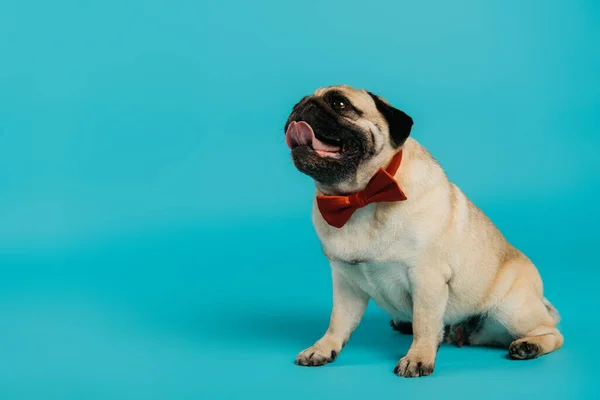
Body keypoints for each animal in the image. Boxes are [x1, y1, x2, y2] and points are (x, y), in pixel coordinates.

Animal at [282, 85, 564, 378]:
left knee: (553, 332)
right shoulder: (345, 282)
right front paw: (323, 348)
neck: (361, 197)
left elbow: (425, 323)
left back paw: (529, 346)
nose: (303, 107)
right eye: (296, 104)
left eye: (340, 104)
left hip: (512, 309)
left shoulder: (426, 277)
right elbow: (338, 321)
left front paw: (418, 358)